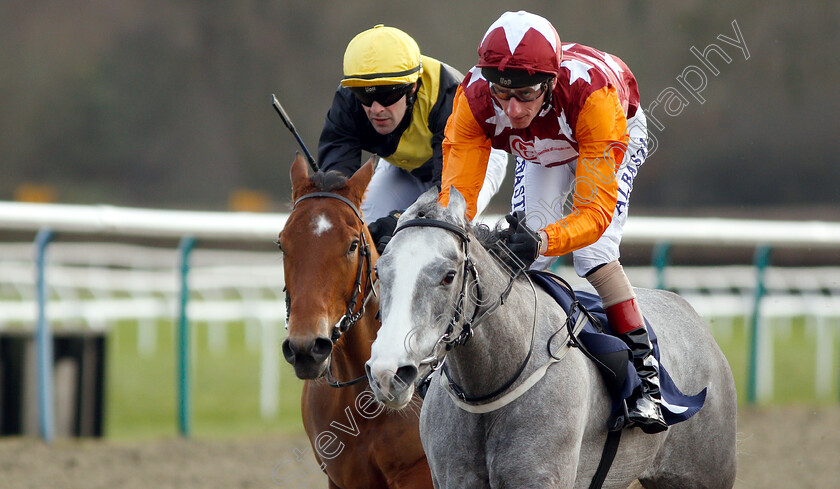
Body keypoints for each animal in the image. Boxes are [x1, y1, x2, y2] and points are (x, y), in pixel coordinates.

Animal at [366, 189, 736, 488]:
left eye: (448, 275)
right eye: (379, 271)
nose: (387, 373)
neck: (491, 384)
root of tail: (689, 311)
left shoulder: (539, 477)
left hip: (701, 476)